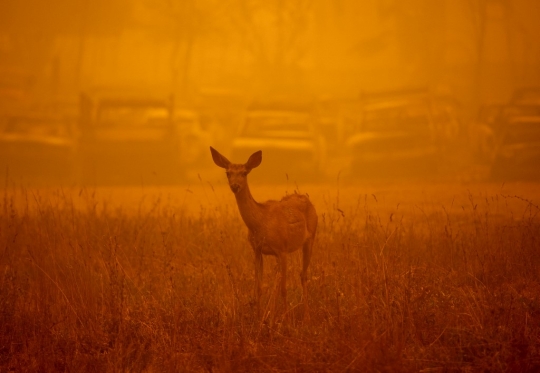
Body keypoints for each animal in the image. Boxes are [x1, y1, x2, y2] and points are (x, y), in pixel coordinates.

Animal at [210, 146, 318, 316]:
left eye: (244, 172)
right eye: (228, 172)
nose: (235, 186)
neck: (260, 223)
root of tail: (307, 199)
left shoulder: (282, 249)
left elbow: (284, 289)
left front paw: (286, 320)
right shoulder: (257, 250)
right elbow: (259, 288)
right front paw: (259, 317)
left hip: (310, 238)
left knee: (302, 275)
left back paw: (306, 315)